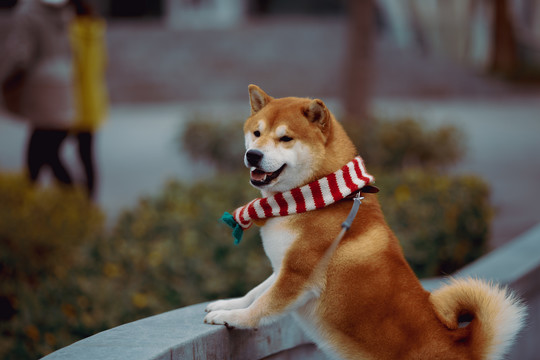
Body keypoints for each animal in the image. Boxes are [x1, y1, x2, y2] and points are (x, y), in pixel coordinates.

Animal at [204, 85, 528, 360]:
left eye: (285, 138)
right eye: (256, 133)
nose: (253, 154)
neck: (316, 196)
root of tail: (461, 347)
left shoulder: (298, 274)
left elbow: (261, 306)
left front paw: (232, 317)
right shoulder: (284, 267)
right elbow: (254, 293)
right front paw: (227, 304)